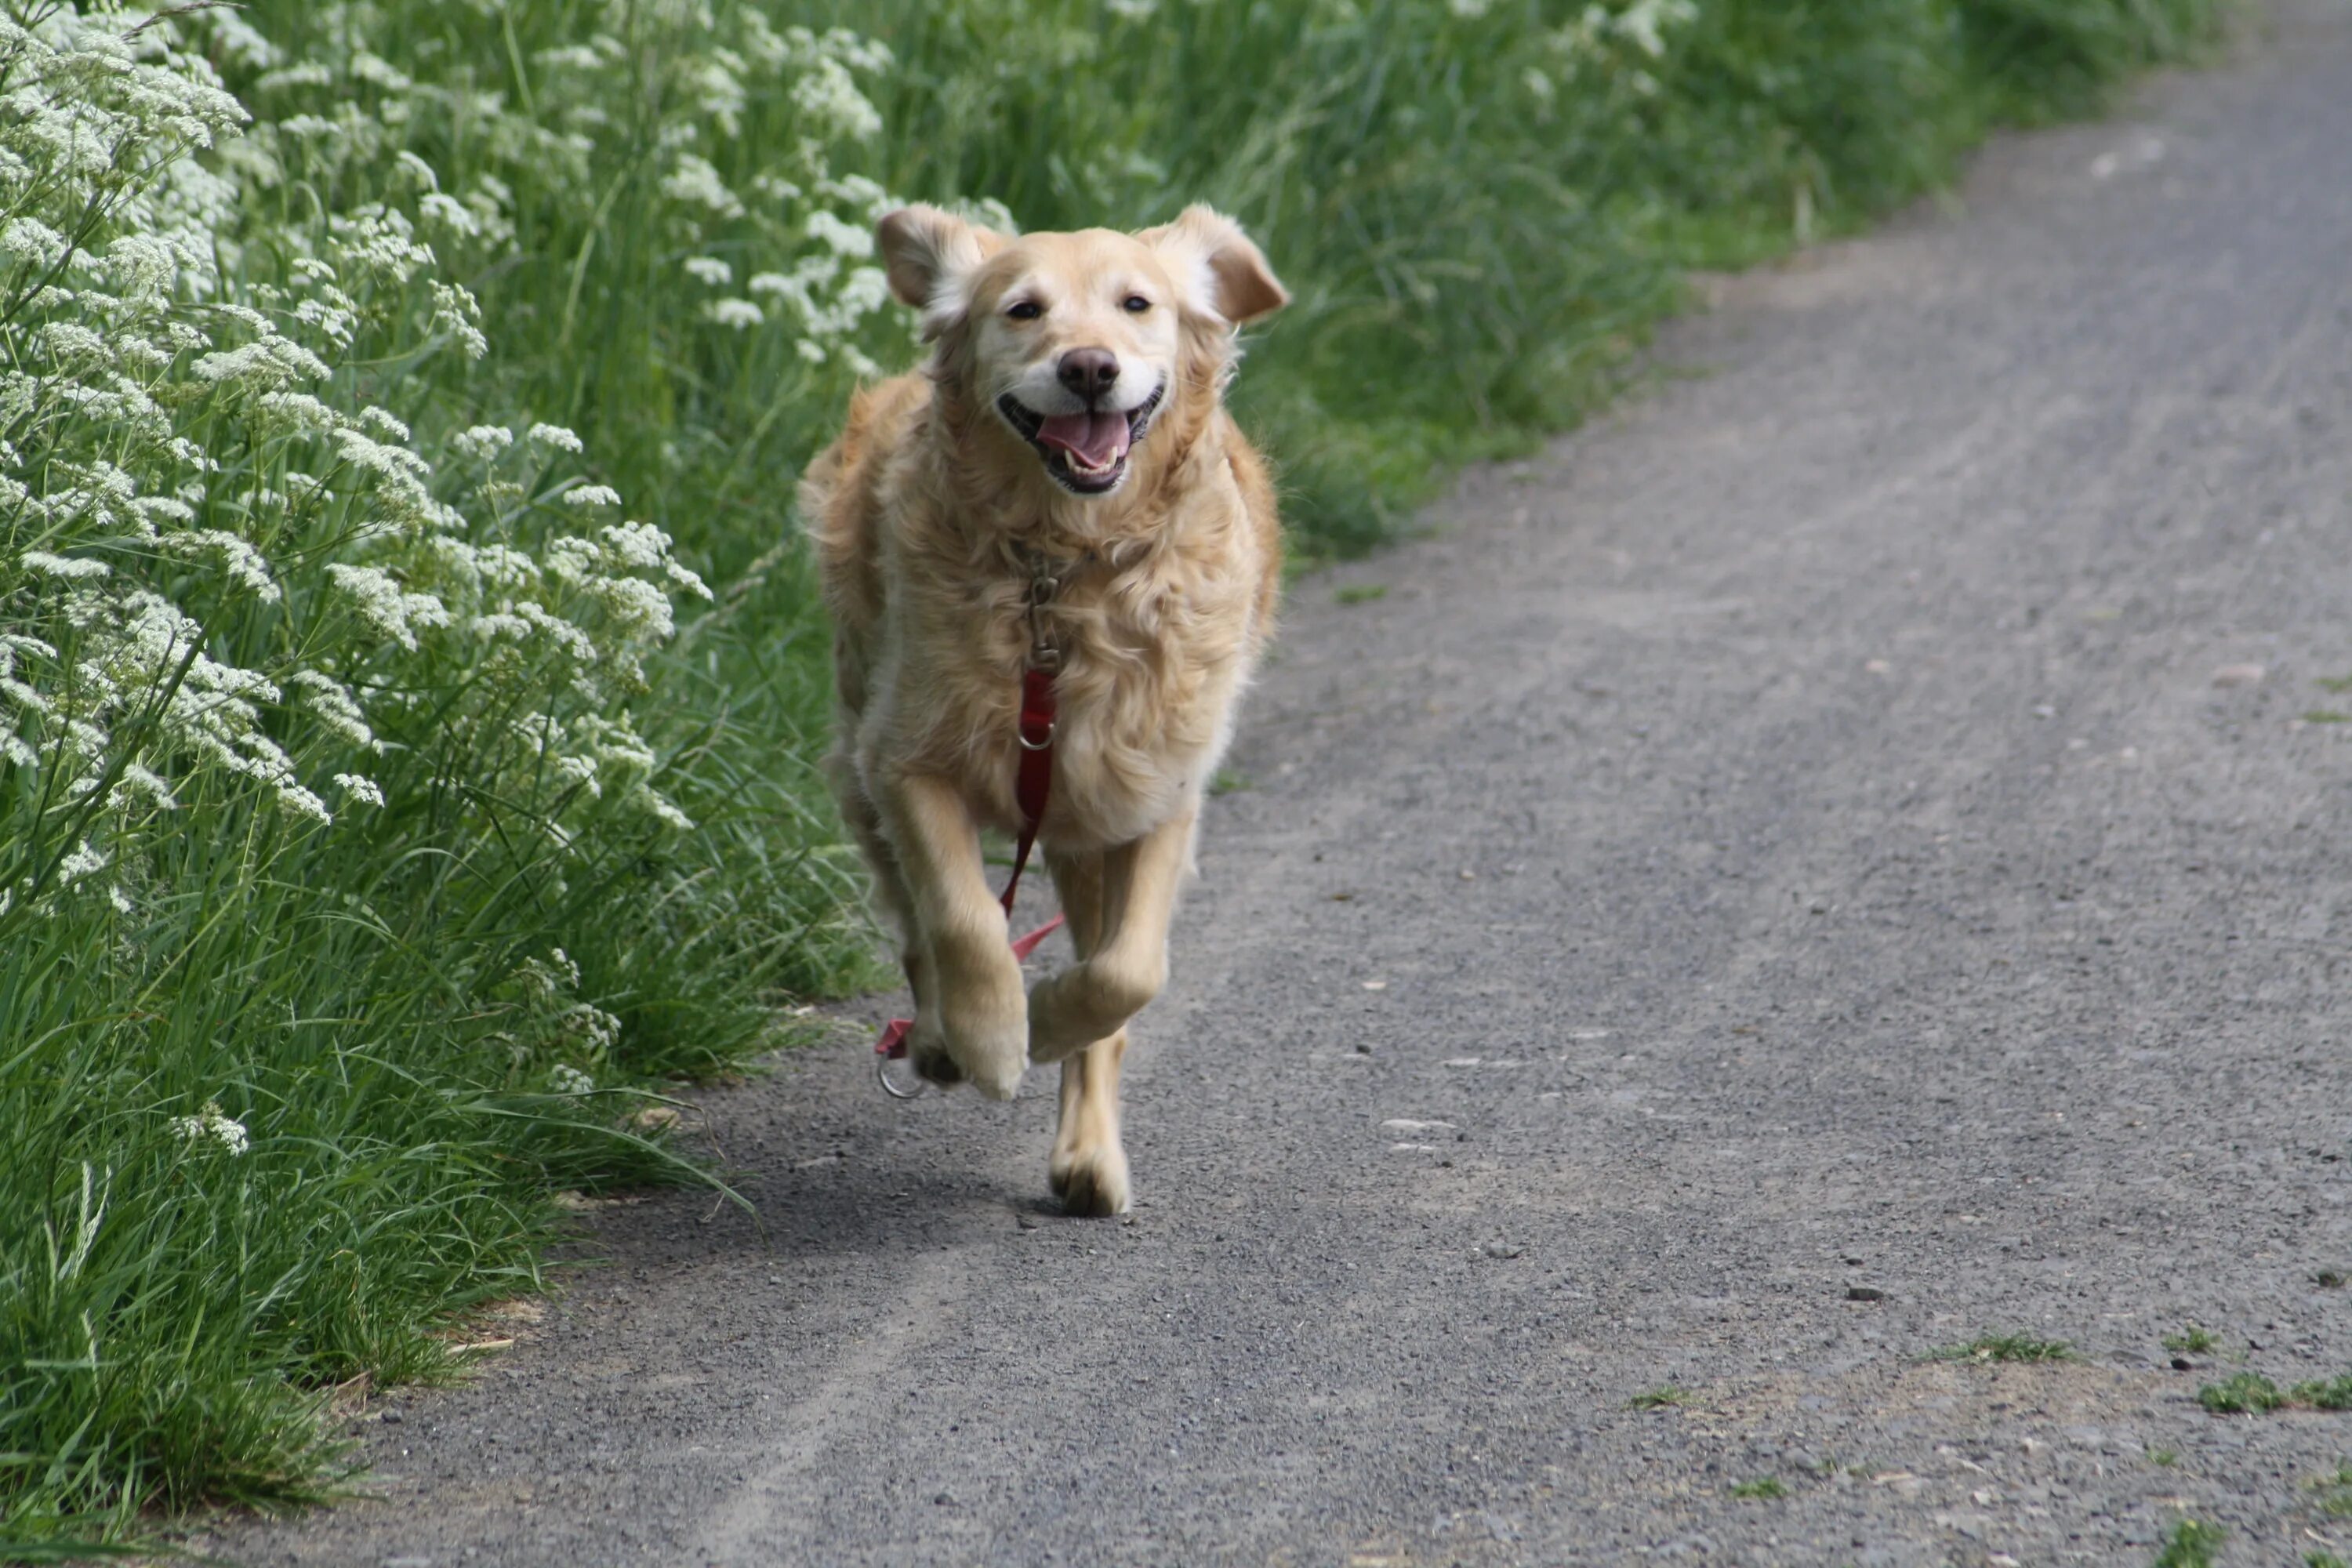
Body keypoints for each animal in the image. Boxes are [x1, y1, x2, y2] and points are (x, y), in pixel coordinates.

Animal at [809, 205, 1289, 1213]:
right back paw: (939, 1037)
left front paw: (1051, 1019)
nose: (1089, 368)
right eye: (1023, 309)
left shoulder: (1154, 788)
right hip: (860, 756)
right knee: (916, 926)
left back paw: (1087, 1157)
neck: (1062, 573)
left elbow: (1125, 974)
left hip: (1081, 822)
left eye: (1137, 303)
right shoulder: (904, 760)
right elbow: (962, 918)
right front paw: (993, 1035)